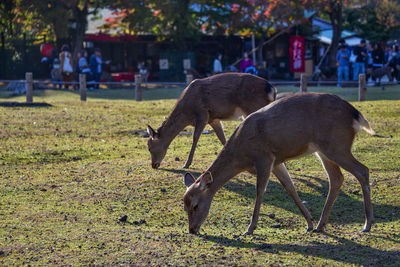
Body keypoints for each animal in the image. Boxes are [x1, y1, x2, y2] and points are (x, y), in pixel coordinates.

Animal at [184, 93, 376, 236]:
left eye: (195, 205)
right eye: (184, 206)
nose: (192, 229)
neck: (242, 155)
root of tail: (356, 114)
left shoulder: (264, 158)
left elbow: (260, 191)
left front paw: (250, 228)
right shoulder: (277, 162)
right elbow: (290, 187)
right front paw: (308, 222)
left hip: (337, 146)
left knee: (362, 170)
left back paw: (367, 224)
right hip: (323, 150)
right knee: (337, 178)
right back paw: (320, 225)